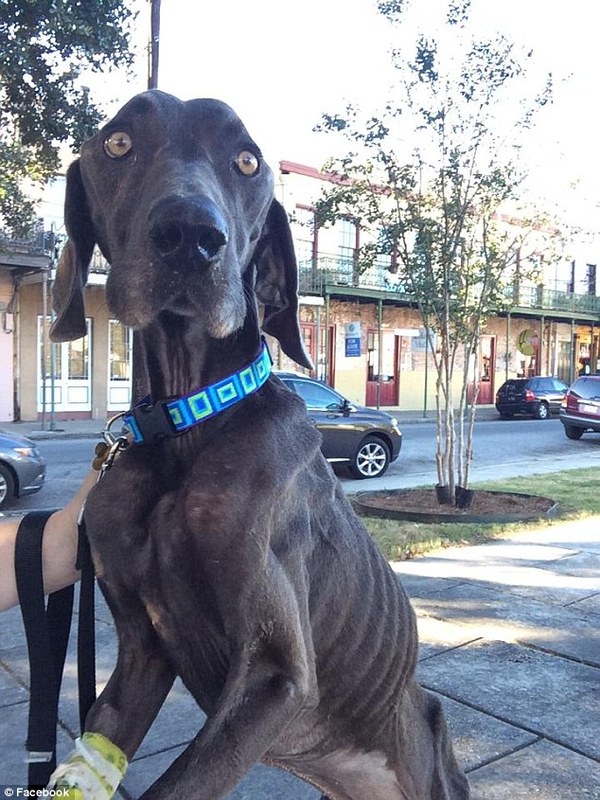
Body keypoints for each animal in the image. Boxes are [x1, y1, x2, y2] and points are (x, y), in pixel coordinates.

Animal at [49, 90, 472, 796]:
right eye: (118, 143)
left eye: (247, 160)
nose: (190, 238)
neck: (186, 425)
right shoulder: (138, 655)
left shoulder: (276, 674)